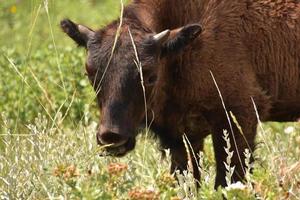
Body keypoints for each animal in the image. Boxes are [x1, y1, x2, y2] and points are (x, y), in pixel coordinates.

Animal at [61, 0, 300, 188]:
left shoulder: (238, 118)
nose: (111, 137)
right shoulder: (178, 136)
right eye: (90, 72)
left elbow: (228, 180)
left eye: (150, 75)